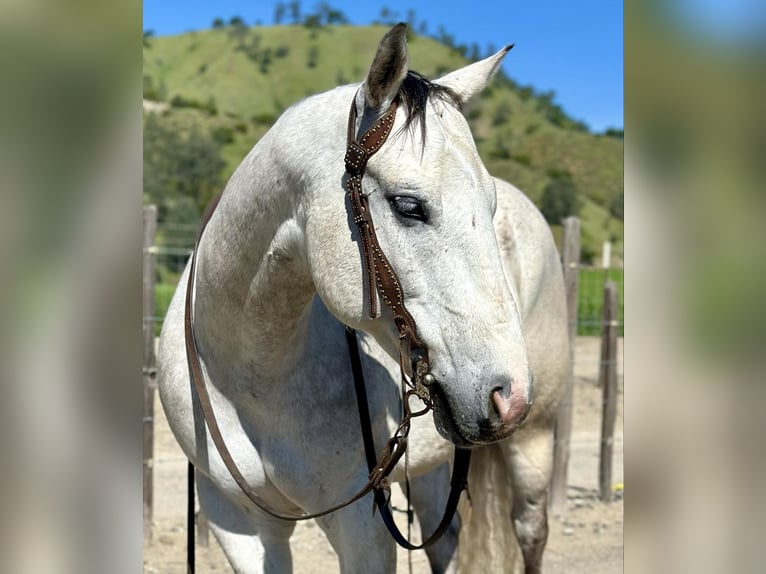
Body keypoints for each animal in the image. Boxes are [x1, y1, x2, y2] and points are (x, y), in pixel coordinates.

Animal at [158, 23, 568, 574]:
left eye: (491, 205)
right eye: (408, 205)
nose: (507, 394)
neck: (249, 375)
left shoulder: (361, 524)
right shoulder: (236, 522)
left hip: (533, 438)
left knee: (530, 530)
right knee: (445, 539)